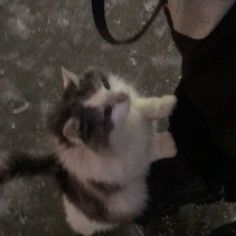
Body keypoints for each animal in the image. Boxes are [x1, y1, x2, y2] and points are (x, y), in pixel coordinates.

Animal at [0, 67, 177, 236]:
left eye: (106, 85)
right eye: (107, 112)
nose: (123, 95)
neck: (122, 126)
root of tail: (59, 168)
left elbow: (144, 106)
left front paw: (166, 103)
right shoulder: (121, 167)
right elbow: (144, 152)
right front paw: (166, 144)